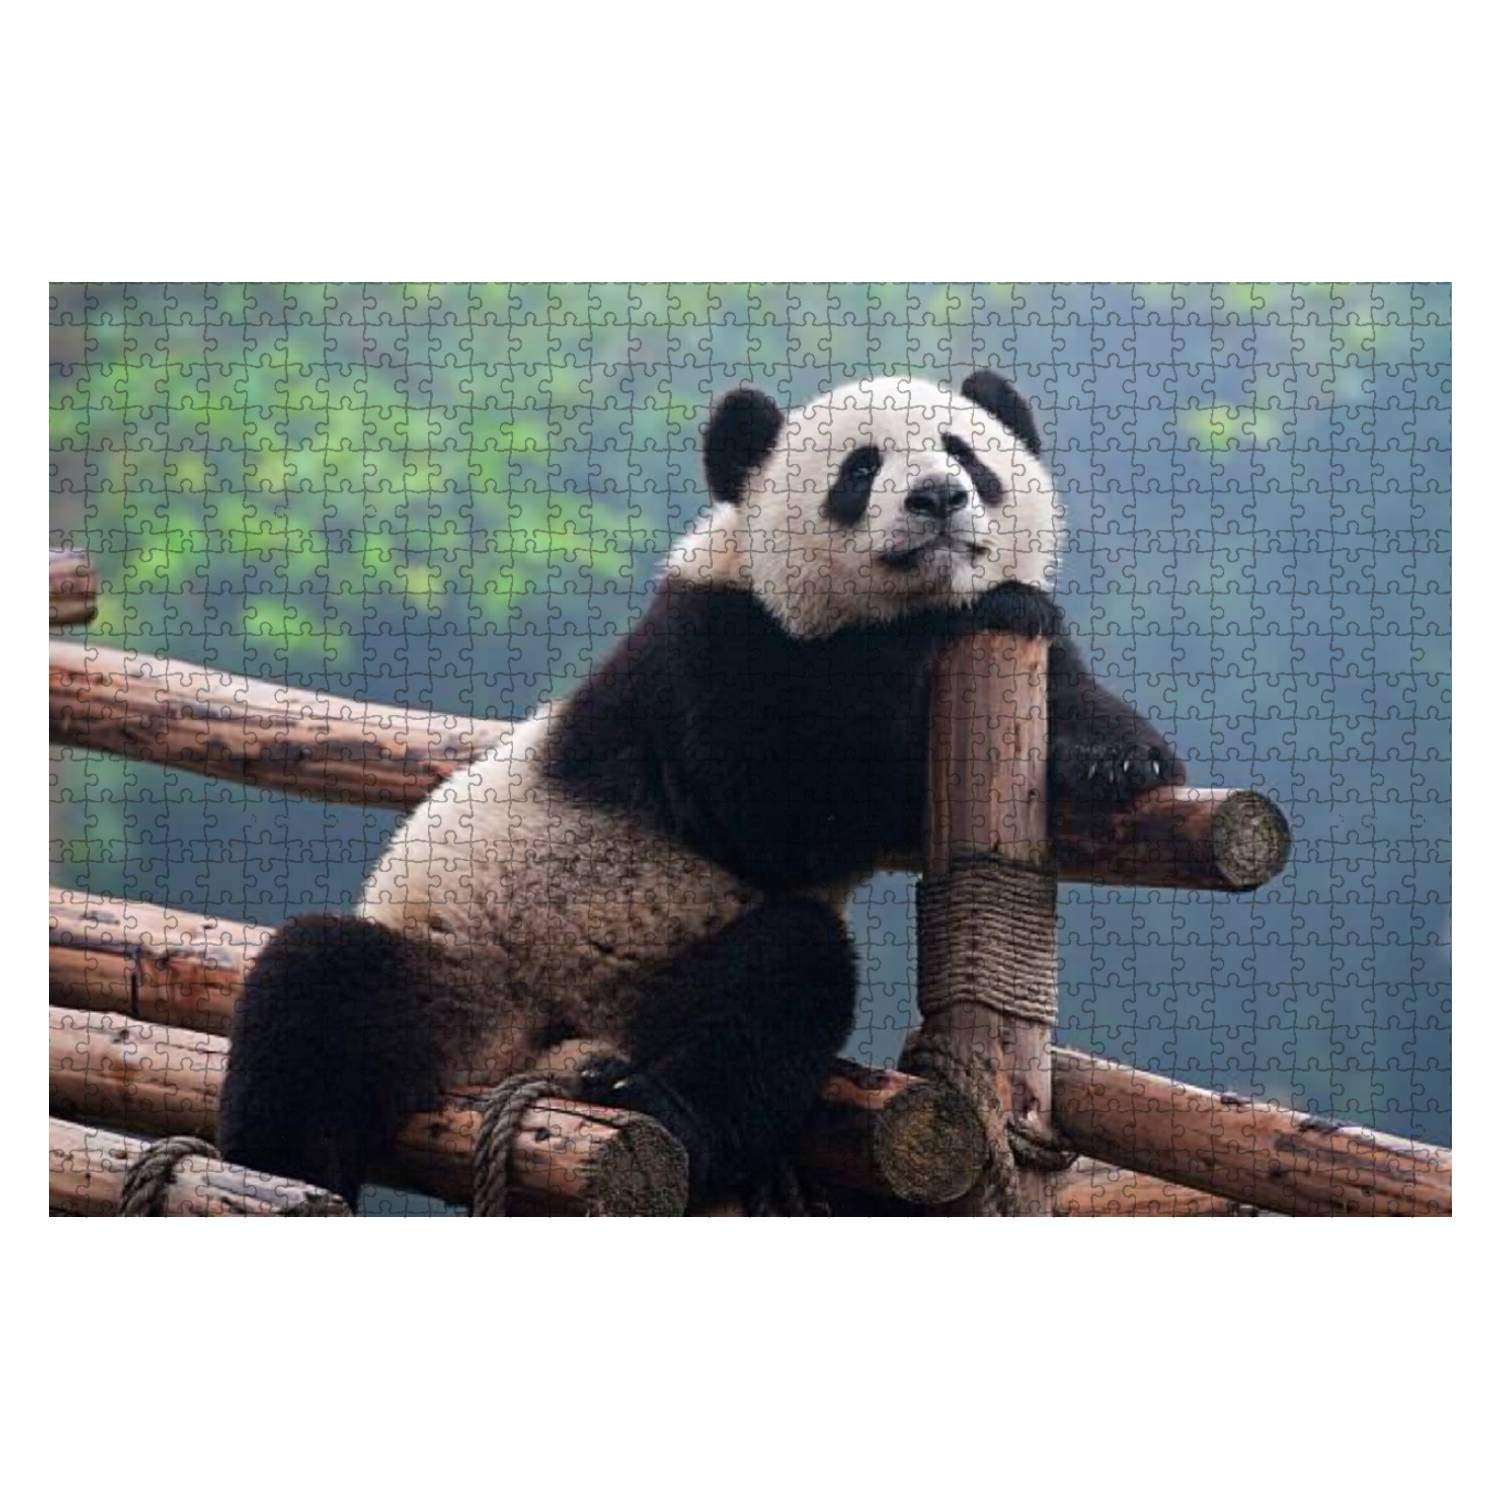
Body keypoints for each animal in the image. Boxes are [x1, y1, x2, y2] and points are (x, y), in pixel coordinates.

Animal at [219, 371, 1184, 1208]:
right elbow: (775, 807)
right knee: (314, 1002)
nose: (939, 498)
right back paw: (292, 1177)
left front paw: (1121, 760)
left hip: (656, 976)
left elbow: (1063, 685)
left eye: (965, 451)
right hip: (463, 961)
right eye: (860, 470)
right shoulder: (711, 646)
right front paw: (963, 624)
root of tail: (538, 1045)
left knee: (765, 993)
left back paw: (645, 1096)